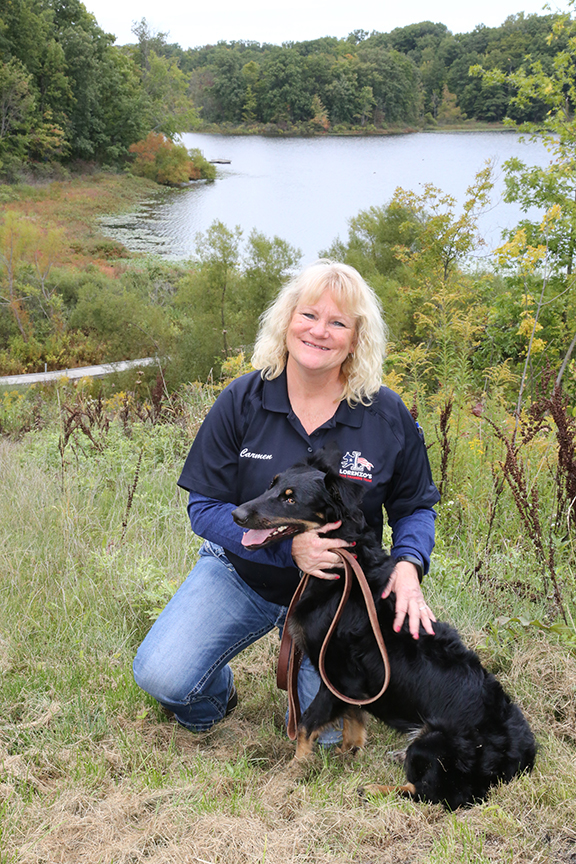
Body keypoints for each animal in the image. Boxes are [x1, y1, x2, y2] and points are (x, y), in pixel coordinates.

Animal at [233, 446, 536, 808]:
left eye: (290, 499)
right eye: (271, 485)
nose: (236, 514)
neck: (343, 563)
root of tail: (522, 756)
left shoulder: (336, 675)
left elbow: (306, 724)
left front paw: (291, 772)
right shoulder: (353, 686)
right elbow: (352, 722)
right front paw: (347, 754)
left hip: (432, 742)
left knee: (435, 794)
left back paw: (374, 789)